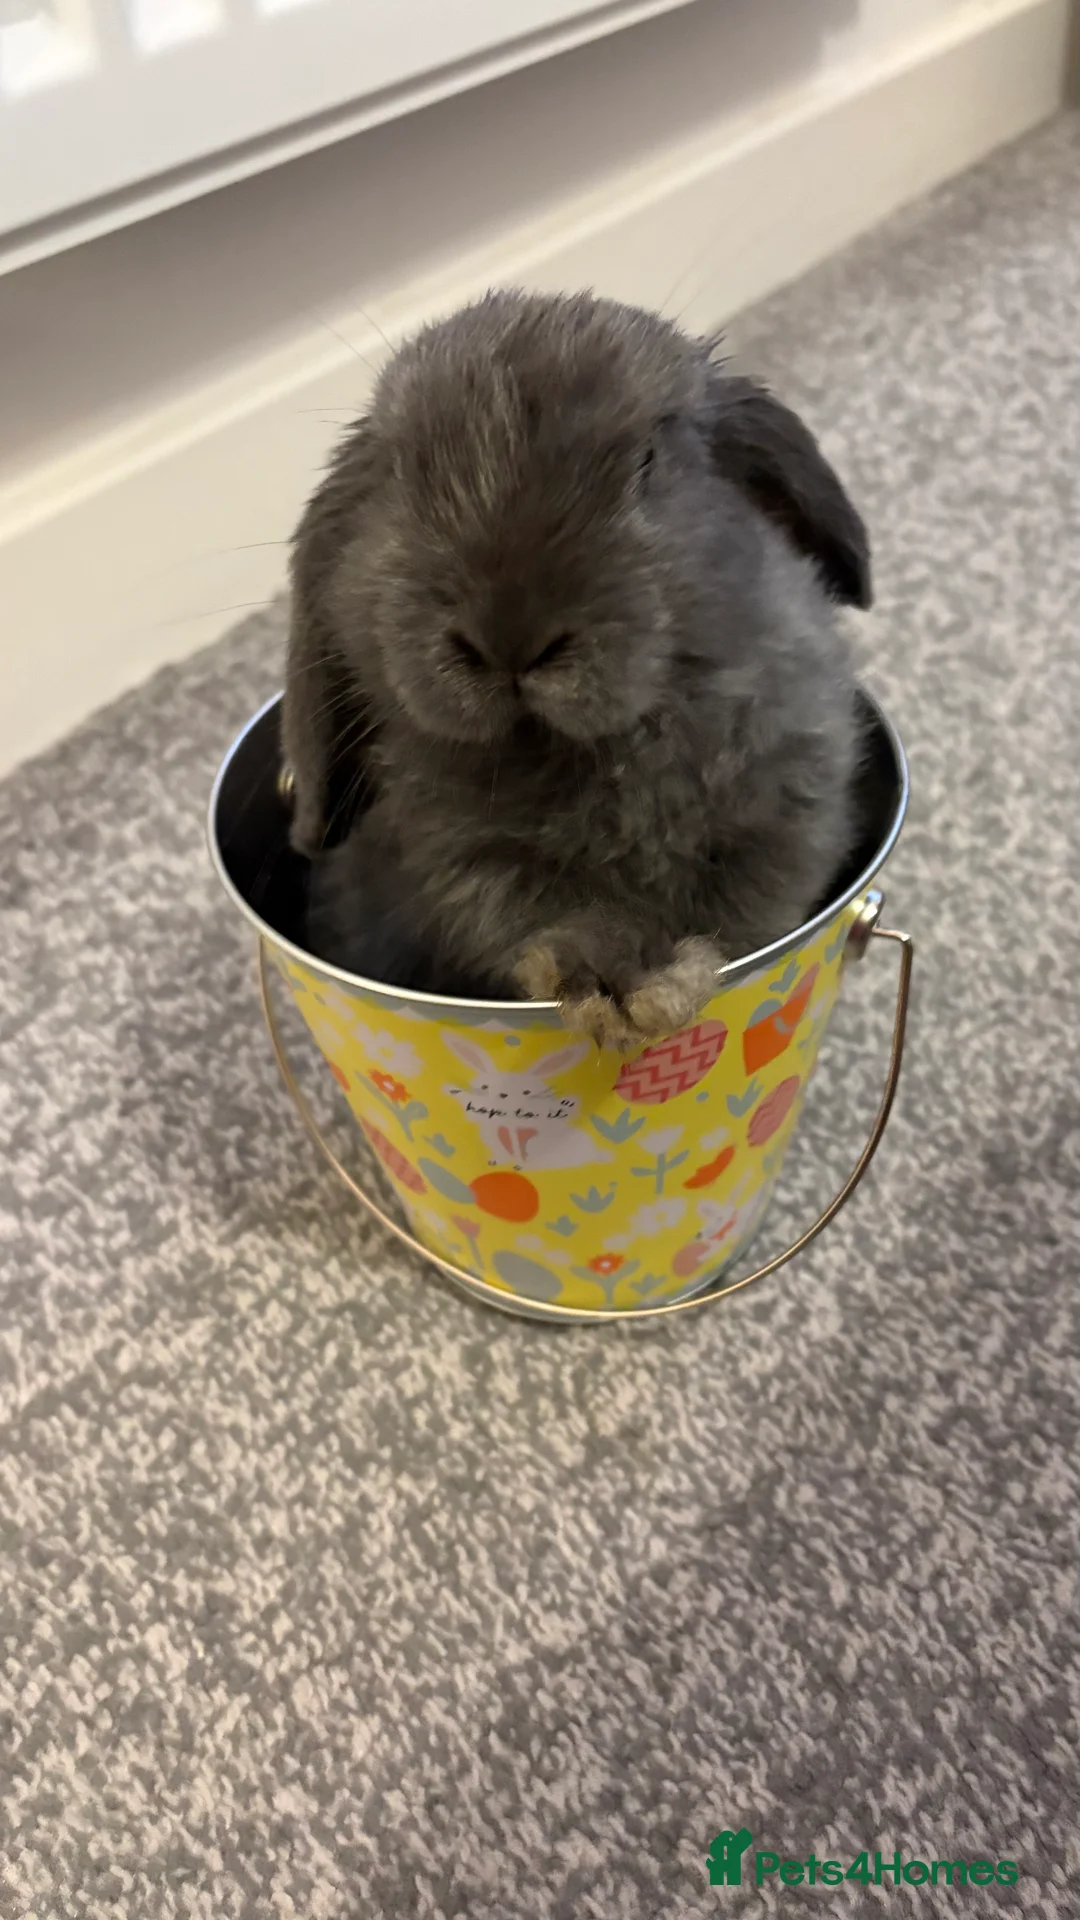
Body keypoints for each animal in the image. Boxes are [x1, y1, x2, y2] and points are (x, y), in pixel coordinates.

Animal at [284, 288, 871, 1050]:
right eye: (400, 474)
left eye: (649, 459)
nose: (509, 637)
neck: (600, 752)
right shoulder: (469, 866)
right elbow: (543, 917)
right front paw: (613, 986)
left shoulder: (788, 819)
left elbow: (739, 916)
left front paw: (655, 987)